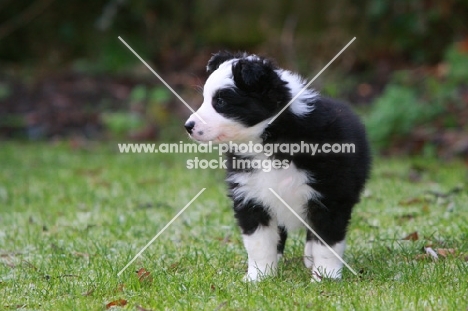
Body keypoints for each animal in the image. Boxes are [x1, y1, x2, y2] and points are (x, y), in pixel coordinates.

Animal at [185, 51, 372, 282]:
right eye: (205, 99)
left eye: (220, 101)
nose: (188, 126)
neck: (270, 137)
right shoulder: (251, 196)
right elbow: (259, 243)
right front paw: (259, 277)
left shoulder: (330, 197)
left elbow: (327, 243)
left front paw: (325, 277)